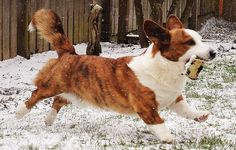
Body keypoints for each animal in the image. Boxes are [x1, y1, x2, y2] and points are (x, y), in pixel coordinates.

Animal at [16, 9, 216, 143]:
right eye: (189, 43)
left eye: (200, 40)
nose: (213, 53)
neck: (166, 68)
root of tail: (69, 53)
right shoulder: (147, 108)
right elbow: (160, 124)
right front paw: (170, 139)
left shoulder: (175, 99)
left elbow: (186, 110)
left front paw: (200, 115)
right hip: (52, 85)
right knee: (36, 95)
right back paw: (20, 113)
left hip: (76, 94)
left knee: (58, 100)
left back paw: (48, 120)